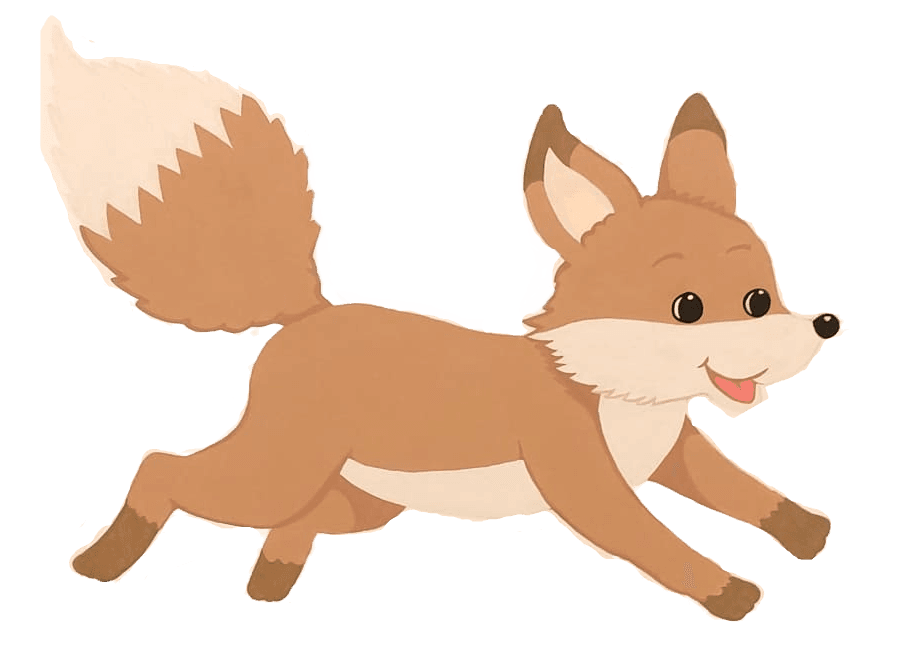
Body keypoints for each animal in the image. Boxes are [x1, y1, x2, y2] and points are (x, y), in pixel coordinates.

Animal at [41, 16, 843, 622]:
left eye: (761, 297)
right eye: (688, 308)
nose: (826, 325)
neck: (619, 395)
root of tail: (308, 311)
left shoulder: (673, 453)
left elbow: (744, 490)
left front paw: (807, 530)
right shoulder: (584, 482)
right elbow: (659, 545)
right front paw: (730, 592)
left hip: (364, 503)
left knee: (295, 522)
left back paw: (268, 584)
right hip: (275, 472)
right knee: (163, 468)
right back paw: (100, 563)